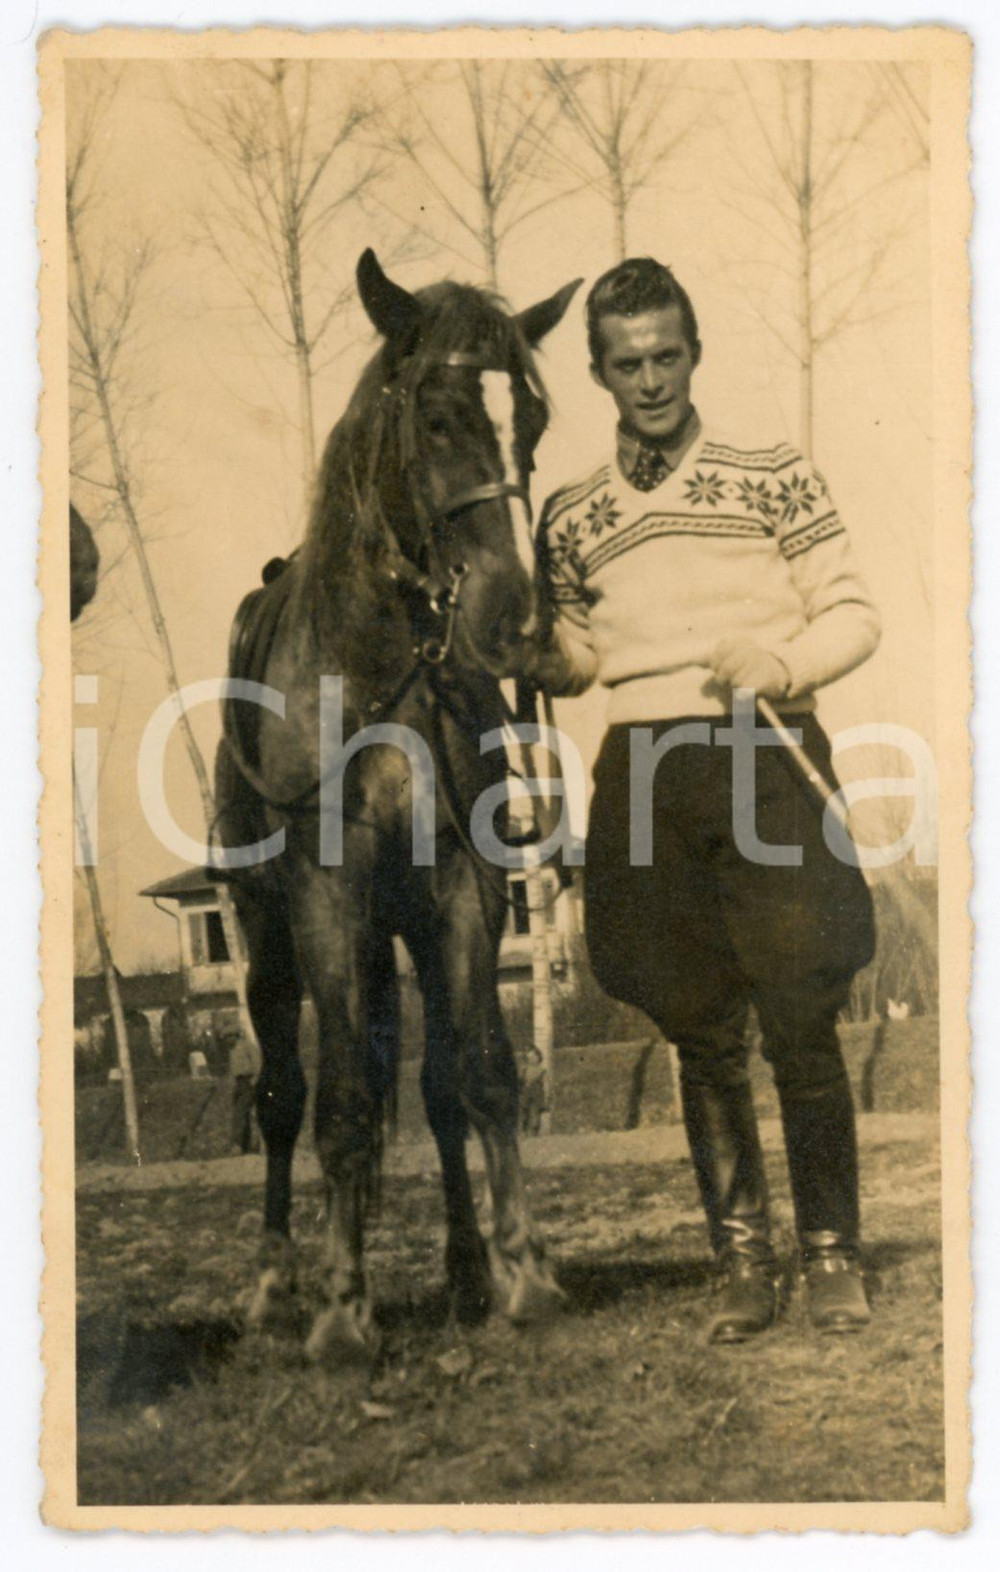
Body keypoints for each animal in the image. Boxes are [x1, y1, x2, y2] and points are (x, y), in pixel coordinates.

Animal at [215, 249, 581, 1362]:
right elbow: (334, 1104)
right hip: (269, 940)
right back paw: (277, 1288)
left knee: (430, 1087)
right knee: (283, 1099)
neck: (383, 668)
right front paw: (342, 1312)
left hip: (402, 926)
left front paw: (522, 1274)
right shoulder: (327, 897)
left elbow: (482, 1077)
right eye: (438, 417)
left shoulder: (461, 890)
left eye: (529, 419)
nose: (518, 620)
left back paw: (463, 1269)